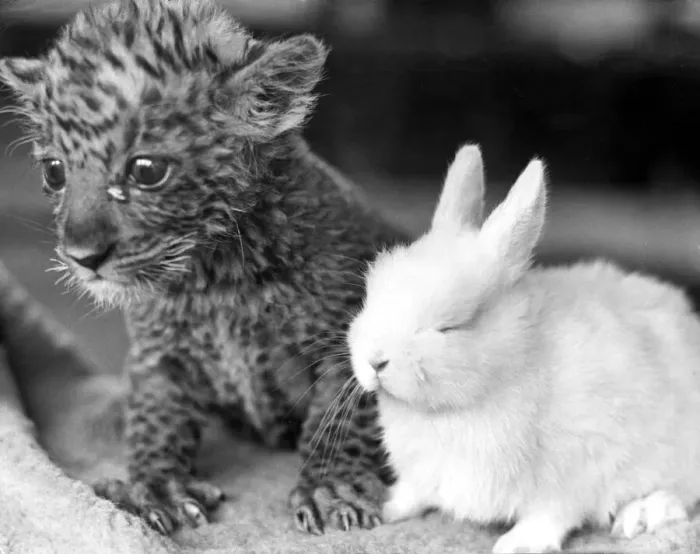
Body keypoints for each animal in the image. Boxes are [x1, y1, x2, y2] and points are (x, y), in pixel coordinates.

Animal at [0, 0, 410, 536]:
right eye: (54, 172)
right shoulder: (160, 355)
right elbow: (154, 417)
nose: (83, 257)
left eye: (146, 171)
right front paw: (156, 487)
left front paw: (330, 485)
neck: (214, 277)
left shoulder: (346, 344)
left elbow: (340, 421)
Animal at [347, 144, 700, 553]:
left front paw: (518, 544)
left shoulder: (573, 471)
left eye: (450, 326)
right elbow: (414, 492)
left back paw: (642, 514)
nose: (374, 360)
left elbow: (552, 514)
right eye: (371, 296)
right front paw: (386, 507)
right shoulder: (425, 473)